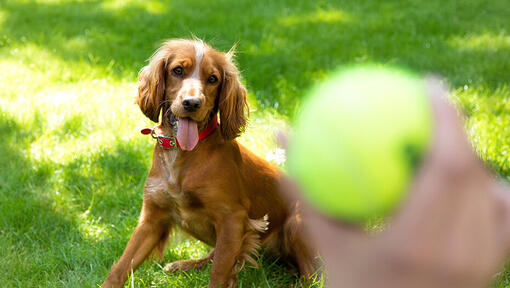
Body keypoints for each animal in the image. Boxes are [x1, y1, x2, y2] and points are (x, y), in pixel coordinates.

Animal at [100, 38, 314, 288]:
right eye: (177, 70)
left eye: (213, 79)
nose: (192, 103)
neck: (183, 155)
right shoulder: (152, 219)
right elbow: (121, 265)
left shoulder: (232, 218)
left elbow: (220, 270)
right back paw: (185, 264)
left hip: (297, 223)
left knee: (312, 276)